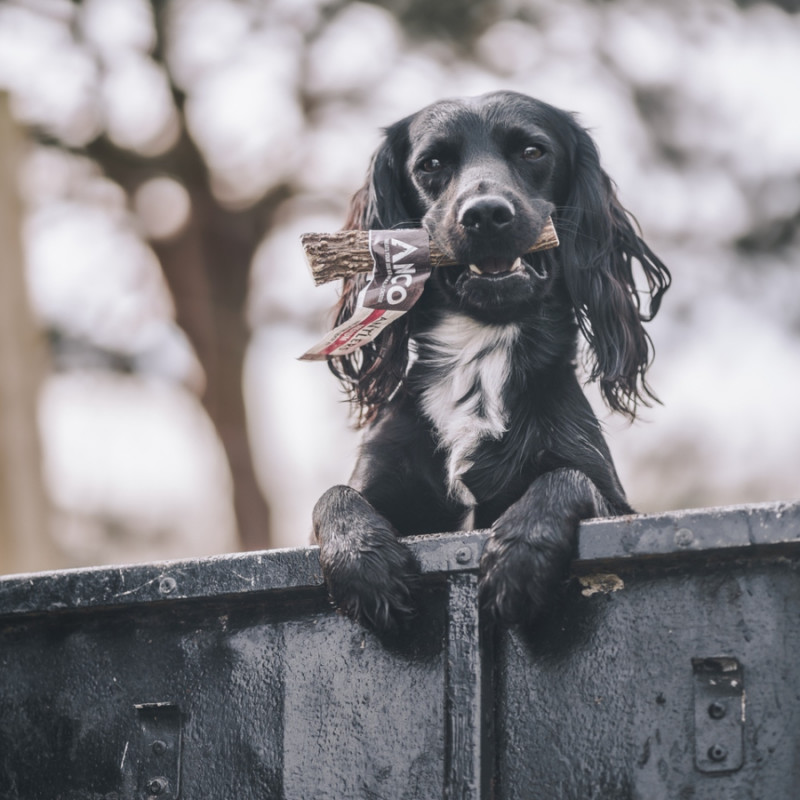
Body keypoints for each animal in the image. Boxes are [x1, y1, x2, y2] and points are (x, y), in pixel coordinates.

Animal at [312, 92, 668, 632]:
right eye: (431, 164)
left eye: (532, 151)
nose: (484, 214)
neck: (479, 359)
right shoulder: (376, 481)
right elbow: (332, 495)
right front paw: (363, 561)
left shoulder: (618, 504)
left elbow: (567, 478)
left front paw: (518, 556)